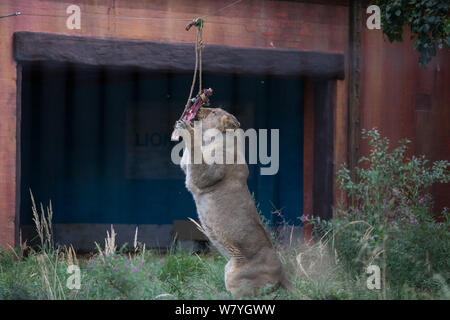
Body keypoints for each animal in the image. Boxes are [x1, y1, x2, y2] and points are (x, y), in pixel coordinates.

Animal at [172, 107, 296, 298]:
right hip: (228, 269)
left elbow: (194, 151)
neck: (212, 140)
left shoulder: (205, 176)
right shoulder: (188, 168)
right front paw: (184, 122)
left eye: (213, 112)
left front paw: (187, 128)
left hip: (236, 278)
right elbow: (188, 156)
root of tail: (283, 273)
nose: (201, 107)